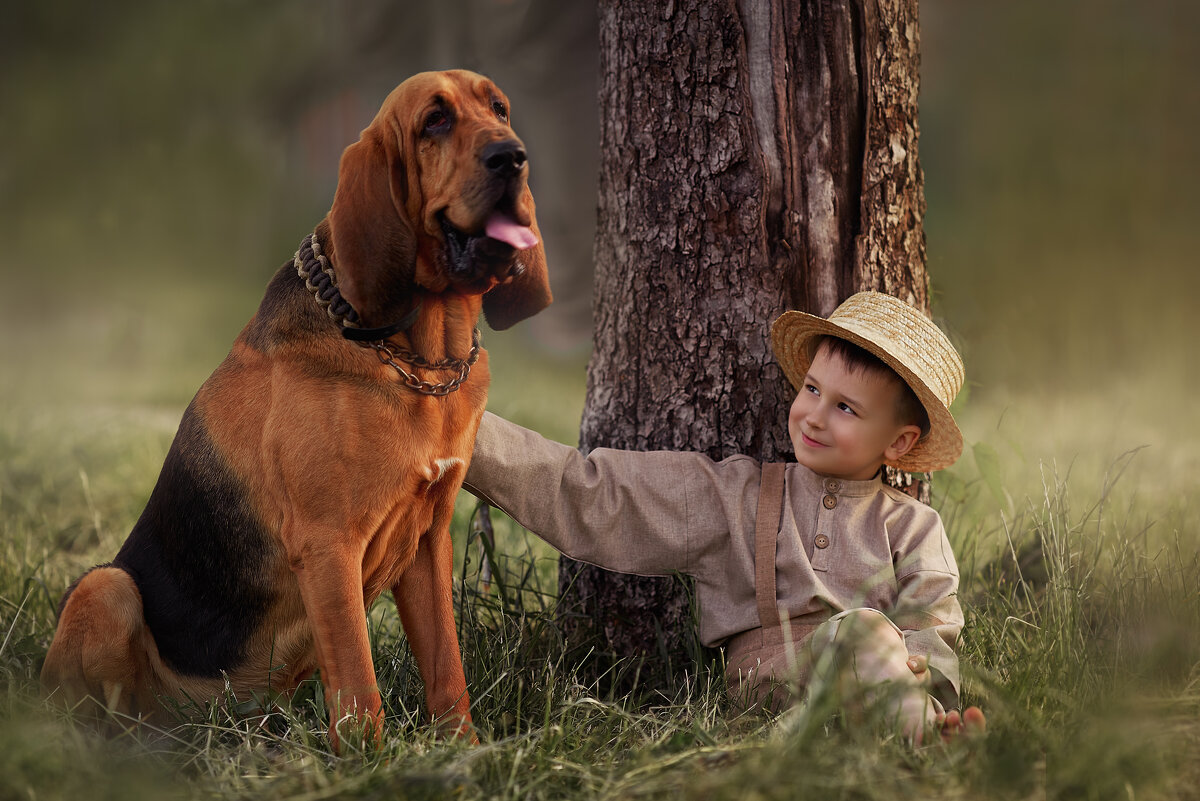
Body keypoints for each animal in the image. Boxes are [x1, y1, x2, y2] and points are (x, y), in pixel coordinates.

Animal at [41, 71, 549, 748]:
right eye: (434, 121)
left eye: (499, 108)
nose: (512, 156)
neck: (416, 356)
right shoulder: (328, 546)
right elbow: (359, 685)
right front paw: (369, 762)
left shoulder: (428, 542)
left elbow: (447, 669)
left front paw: (461, 751)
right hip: (105, 588)